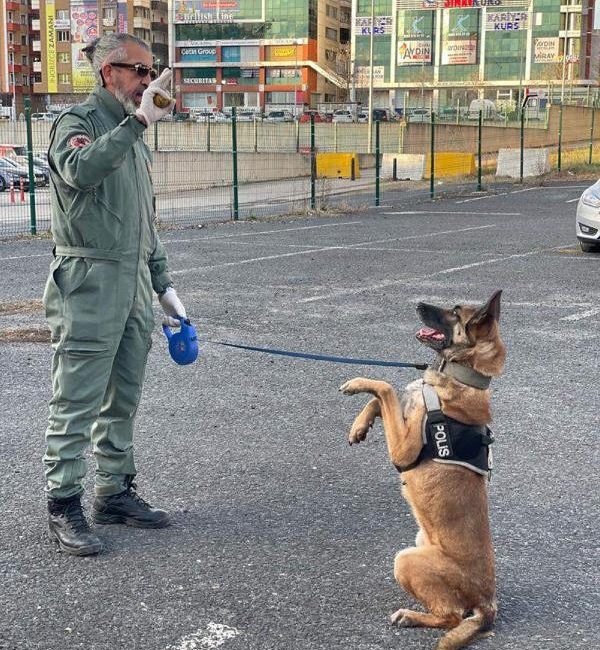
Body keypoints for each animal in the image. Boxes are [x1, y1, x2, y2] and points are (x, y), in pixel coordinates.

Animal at [340, 290, 504, 648]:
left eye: (454, 311)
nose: (417, 304)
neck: (459, 374)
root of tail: (488, 604)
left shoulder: (403, 451)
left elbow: (385, 388)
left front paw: (358, 382)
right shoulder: (402, 418)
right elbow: (383, 401)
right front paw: (359, 426)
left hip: (406, 559)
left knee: (451, 616)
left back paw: (411, 616)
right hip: (417, 542)